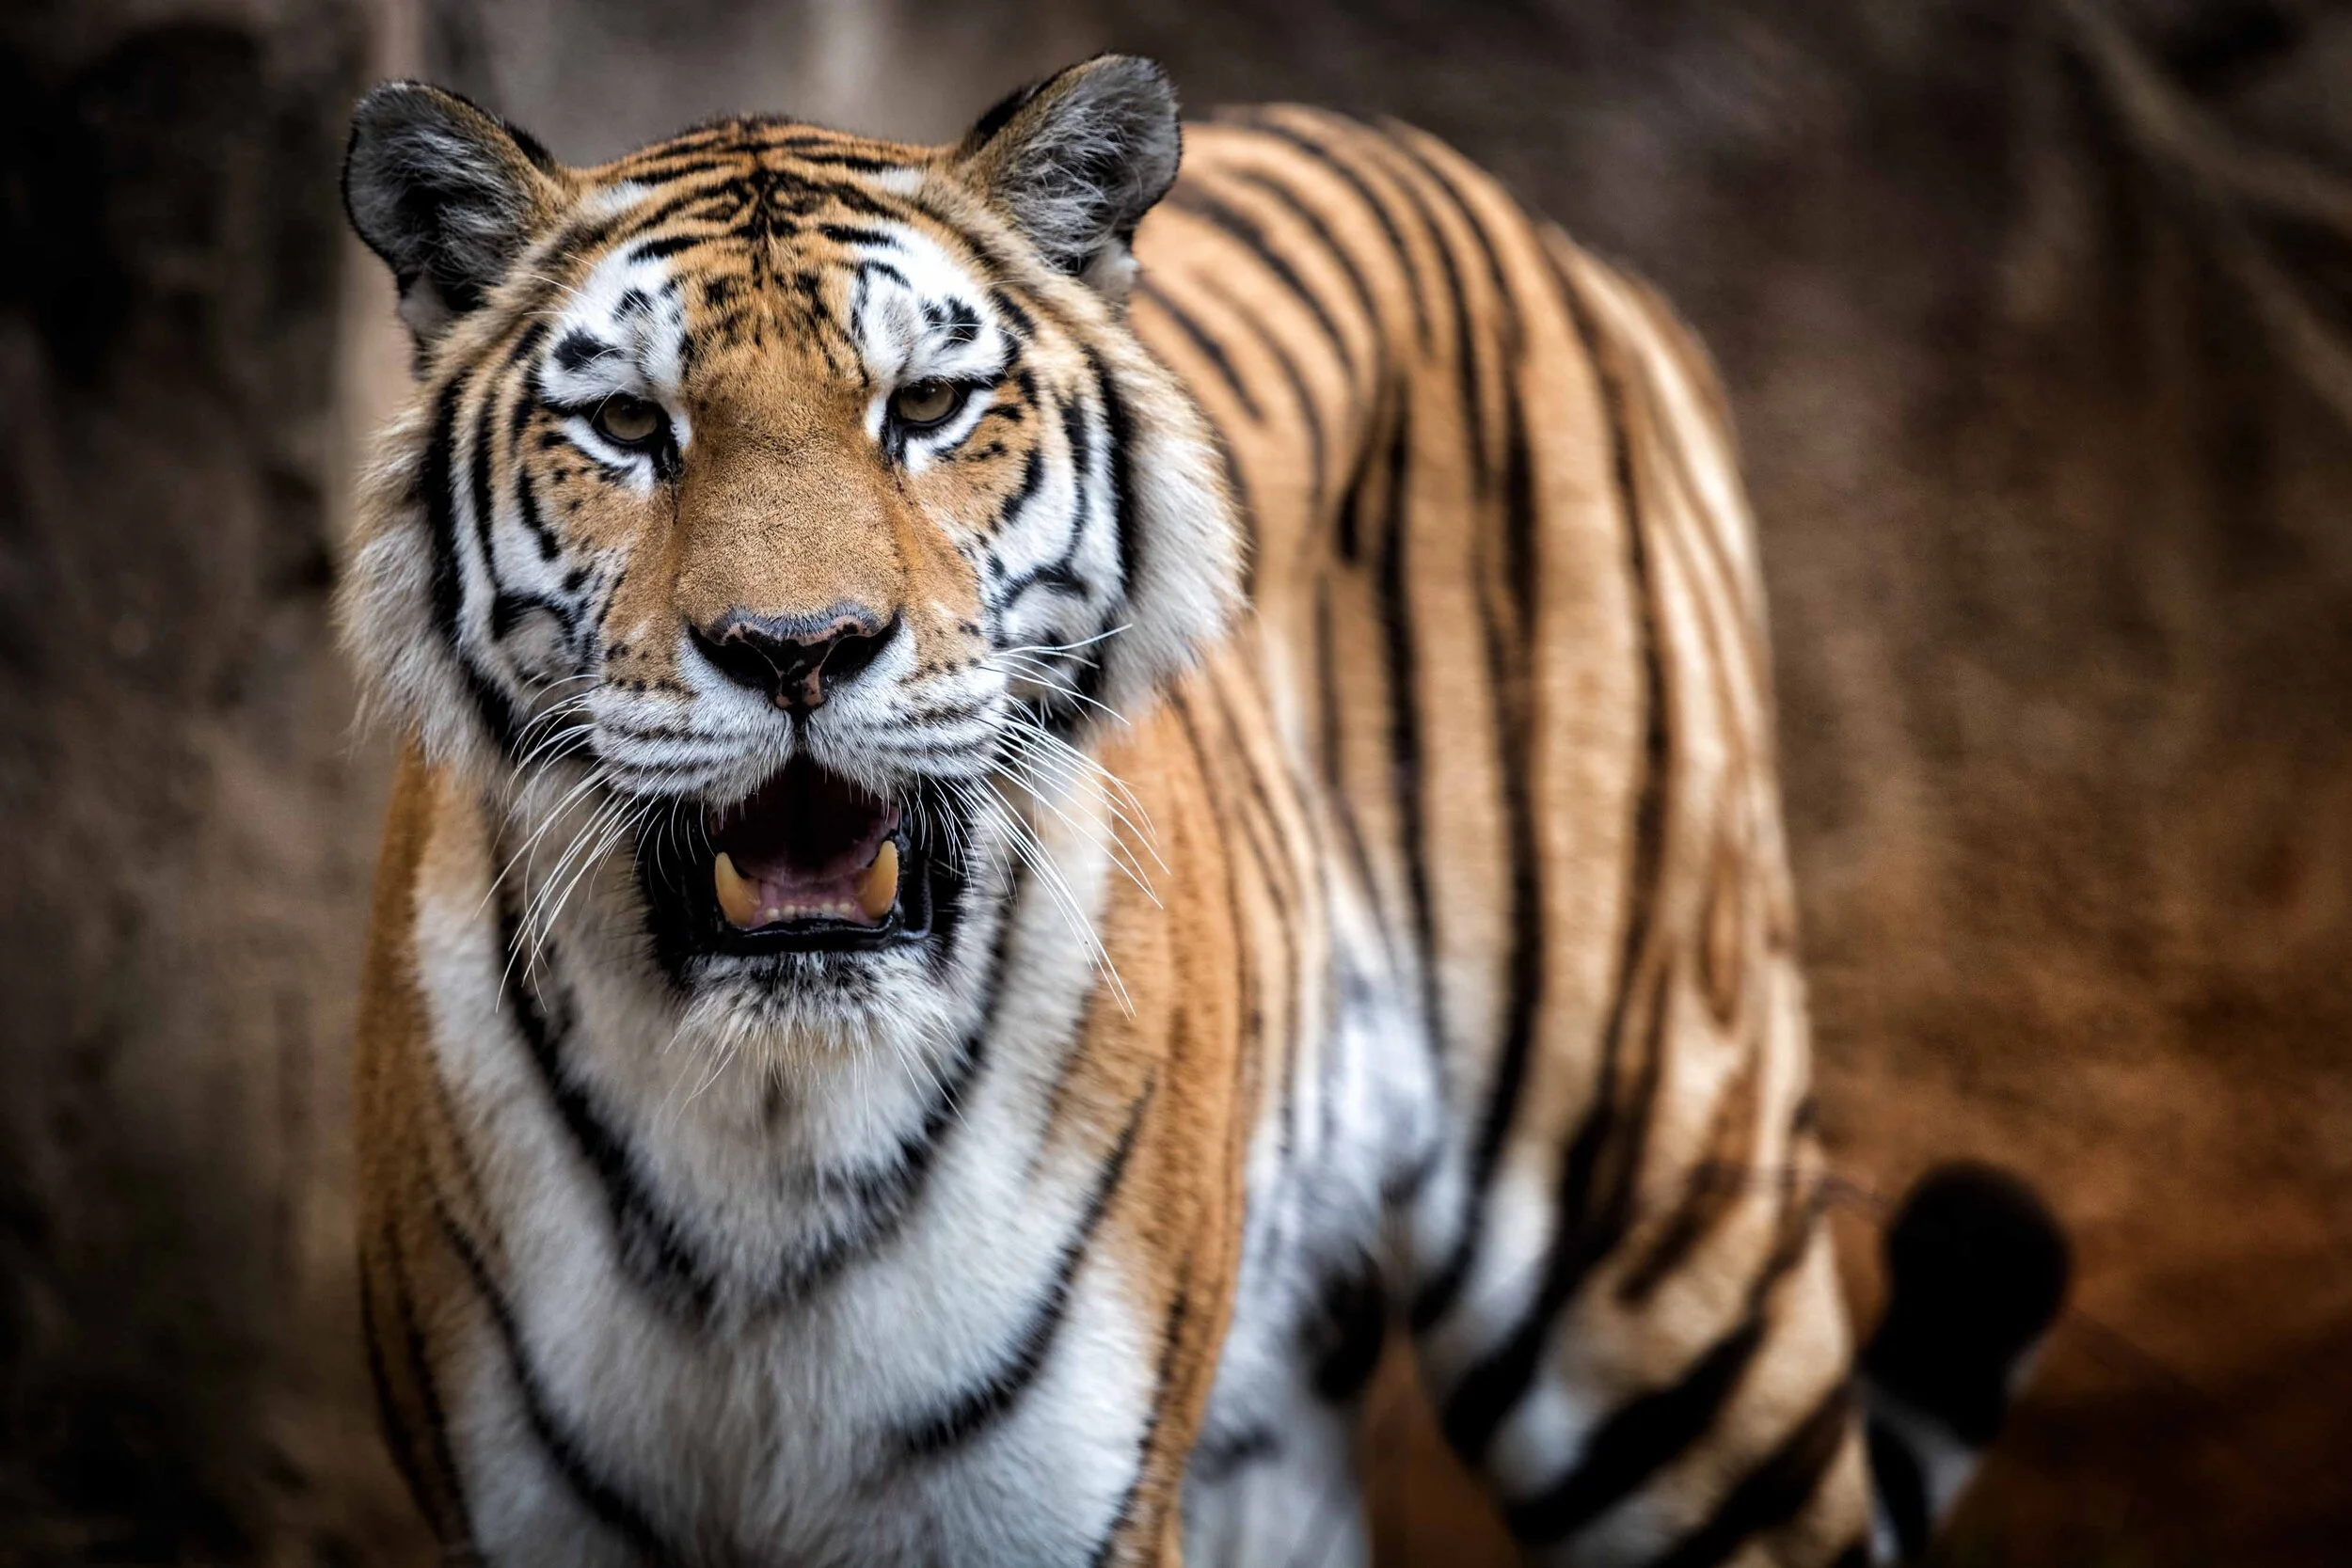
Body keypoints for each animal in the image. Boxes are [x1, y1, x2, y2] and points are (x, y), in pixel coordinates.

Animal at [338, 54, 2066, 1568]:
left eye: (929, 405)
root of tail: (1544, 233)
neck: (770, 1126)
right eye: (631, 425)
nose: (798, 648)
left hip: (1667, 1252)